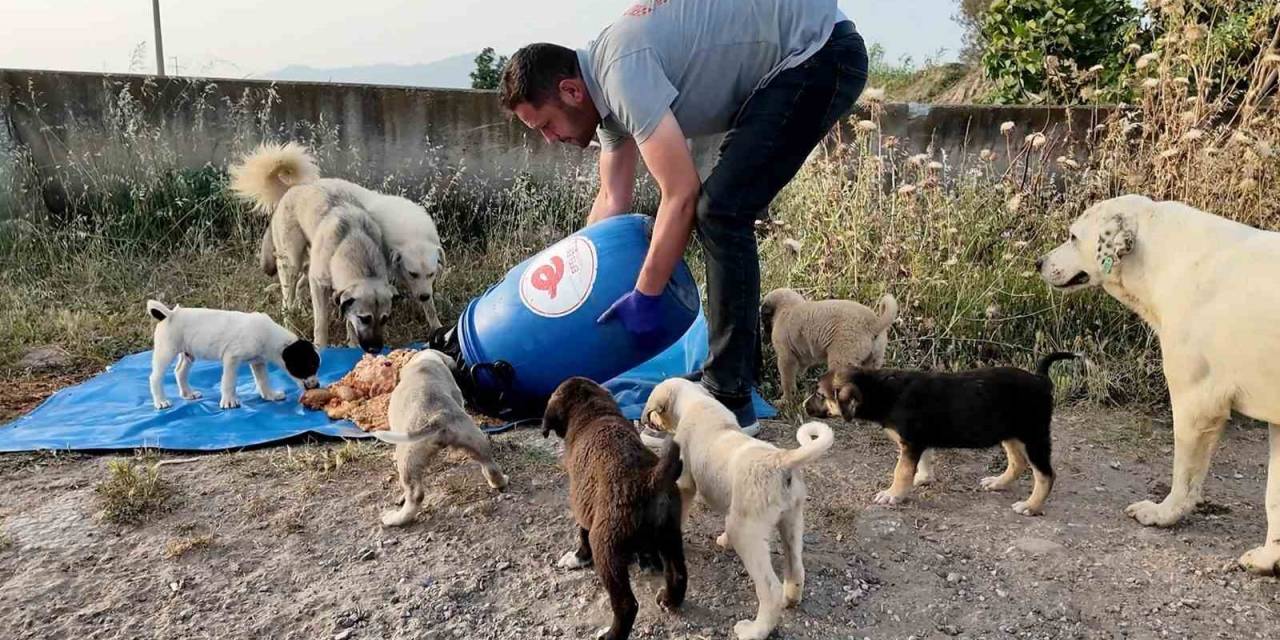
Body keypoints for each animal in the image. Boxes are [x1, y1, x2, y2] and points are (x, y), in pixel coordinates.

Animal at [146, 299, 320, 409]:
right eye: (309, 365)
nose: (317, 385)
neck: (271, 337)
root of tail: (169, 315)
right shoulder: (232, 358)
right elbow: (229, 382)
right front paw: (229, 402)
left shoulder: (258, 362)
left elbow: (263, 380)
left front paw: (270, 395)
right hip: (166, 352)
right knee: (155, 377)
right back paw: (161, 401)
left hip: (188, 354)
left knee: (180, 372)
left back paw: (188, 394)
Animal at [547, 376, 696, 637]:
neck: (593, 413)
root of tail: (651, 478)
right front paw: (646, 559)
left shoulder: (582, 506)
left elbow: (582, 534)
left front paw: (578, 557)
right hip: (670, 534)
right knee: (678, 575)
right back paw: (669, 599)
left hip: (606, 547)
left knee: (627, 605)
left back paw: (610, 634)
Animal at [640, 378, 839, 640]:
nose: (648, 421)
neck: (695, 400)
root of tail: (781, 460)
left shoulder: (685, 484)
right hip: (792, 521)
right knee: (796, 569)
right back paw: (791, 599)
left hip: (745, 532)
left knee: (770, 589)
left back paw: (753, 630)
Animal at [808, 353, 1080, 517]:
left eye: (820, 395)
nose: (803, 406)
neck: (882, 389)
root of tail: (1041, 379)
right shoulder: (920, 442)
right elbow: (925, 460)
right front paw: (922, 478)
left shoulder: (911, 442)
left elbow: (901, 471)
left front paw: (893, 494)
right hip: (1010, 433)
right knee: (1017, 462)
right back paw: (997, 482)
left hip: (1034, 436)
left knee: (1045, 474)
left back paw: (1030, 506)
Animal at [1039, 194, 1280, 576]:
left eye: (1073, 237)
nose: (1038, 263)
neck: (1165, 257)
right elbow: (1274, 495)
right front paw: (1269, 557)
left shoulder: (1197, 403)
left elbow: (1184, 476)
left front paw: (1162, 514)